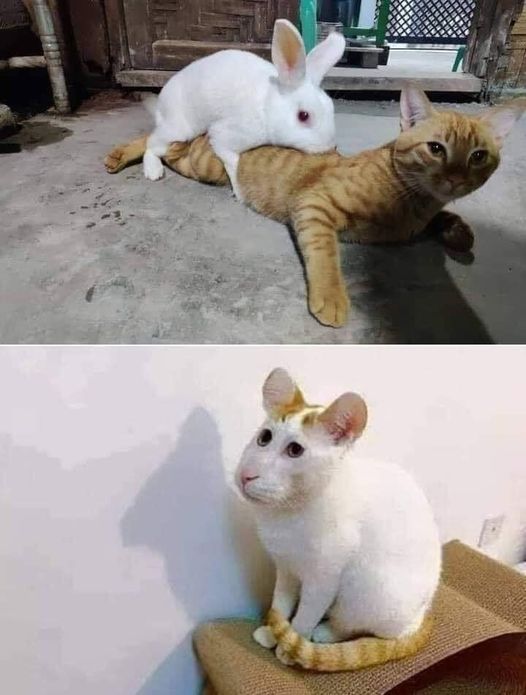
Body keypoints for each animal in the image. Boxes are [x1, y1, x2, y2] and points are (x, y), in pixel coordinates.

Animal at [143, 19, 345, 200]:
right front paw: (240, 193)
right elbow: (232, 161)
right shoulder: (224, 135)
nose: (329, 147)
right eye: (303, 116)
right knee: (151, 144)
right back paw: (153, 172)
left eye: (331, 107)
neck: (267, 106)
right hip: (179, 129)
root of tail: (160, 104)